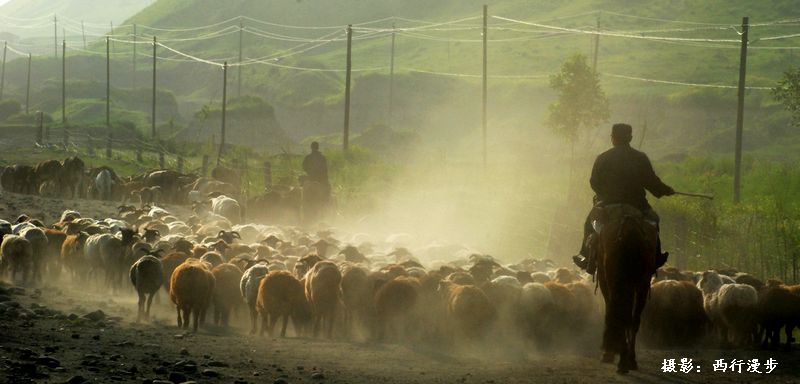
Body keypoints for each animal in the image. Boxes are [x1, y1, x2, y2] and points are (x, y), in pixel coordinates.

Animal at [592, 204, 656, 376]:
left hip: (620, 281)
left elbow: (612, 312)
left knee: (623, 314)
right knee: (632, 319)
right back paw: (628, 360)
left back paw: (622, 360)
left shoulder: (606, 281)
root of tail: (629, 227)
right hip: (640, 284)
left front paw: (610, 352)